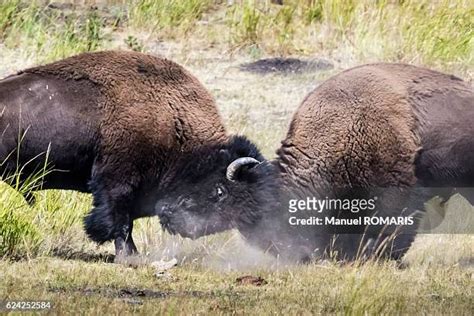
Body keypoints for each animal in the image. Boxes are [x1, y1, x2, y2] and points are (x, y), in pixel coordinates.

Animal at [0, 49, 228, 256]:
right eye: (216, 191)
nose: (195, 230)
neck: (173, 117)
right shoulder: (118, 180)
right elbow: (120, 220)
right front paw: (128, 256)